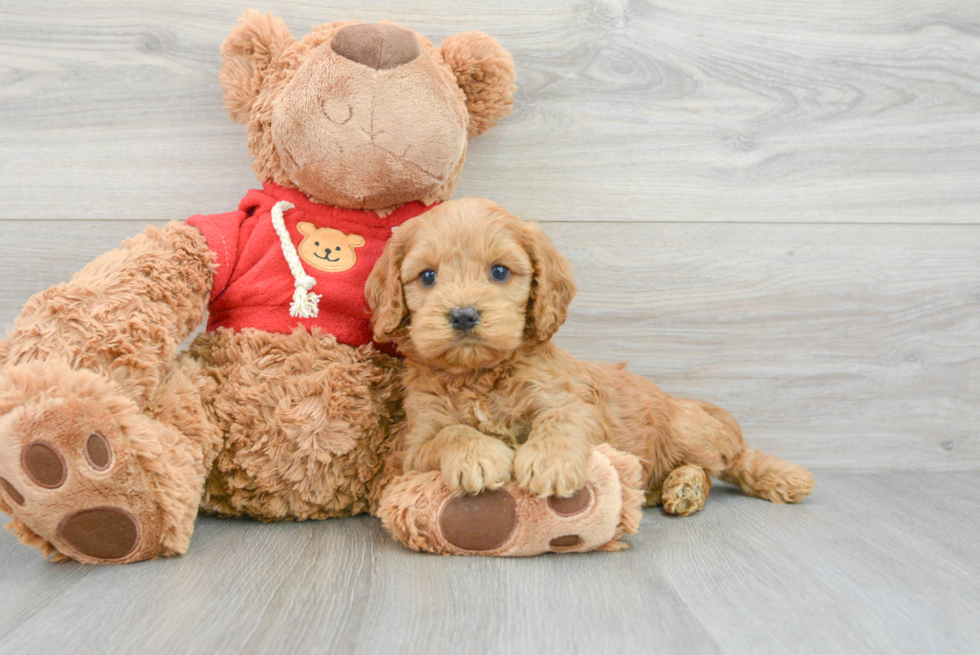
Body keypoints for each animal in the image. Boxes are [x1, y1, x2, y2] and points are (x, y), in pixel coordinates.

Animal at [364, 197, 816, 516]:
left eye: (499, 272)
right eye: (427, 276)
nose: (463, 315)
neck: (478, 376)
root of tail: (682, 401)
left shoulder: (572, 401)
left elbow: (561, 420)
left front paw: (549, 463)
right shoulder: (414, 445)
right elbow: (450, 433)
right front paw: (479, 455)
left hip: (688, 431)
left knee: (732, 458)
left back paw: (781, 477)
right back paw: (672, 488)